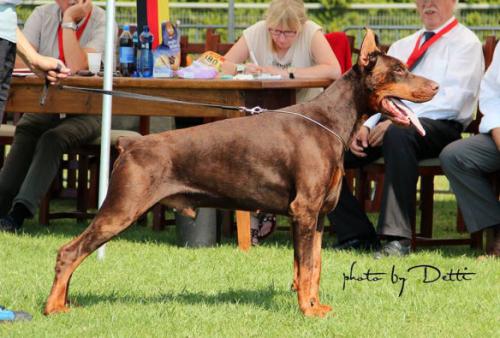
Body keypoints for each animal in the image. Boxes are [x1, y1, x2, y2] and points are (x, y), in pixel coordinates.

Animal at [45, 30, 440, 318]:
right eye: (399, 70)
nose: (436, 86)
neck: (329, 122)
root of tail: (130, 145)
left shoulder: (317, 217)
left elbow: (312, 266)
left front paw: (315, 305)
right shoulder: (304, 211)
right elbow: (306, 267)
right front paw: (307, 312)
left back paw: (64, 302)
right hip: (122, 207)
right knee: (69, 251)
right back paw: (53, 307)